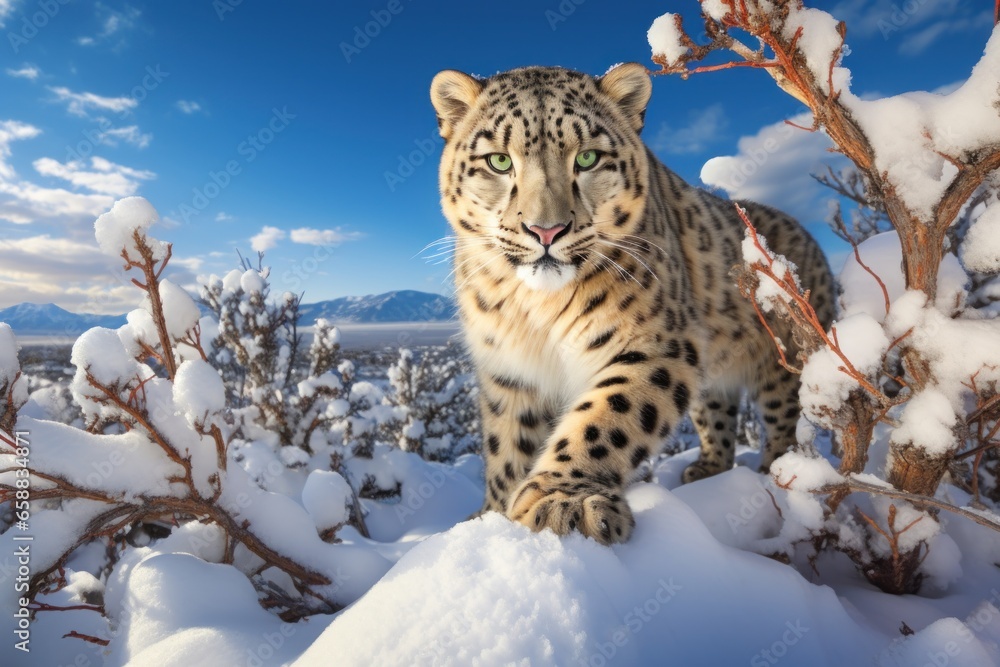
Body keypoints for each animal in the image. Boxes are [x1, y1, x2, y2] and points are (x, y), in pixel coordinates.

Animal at [429, 63, 835, 545]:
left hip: (787, 361)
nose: (546, 230)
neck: (534, 312)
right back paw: (707, 470)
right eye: (499, 161)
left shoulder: (655, 344)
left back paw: (779, 476)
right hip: (714, 377)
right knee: (717, 414)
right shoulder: (510, 370)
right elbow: (507, 443)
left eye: (587, 158)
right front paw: (491, 518)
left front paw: (564, 502)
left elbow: (608, 418)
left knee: (787, 420)